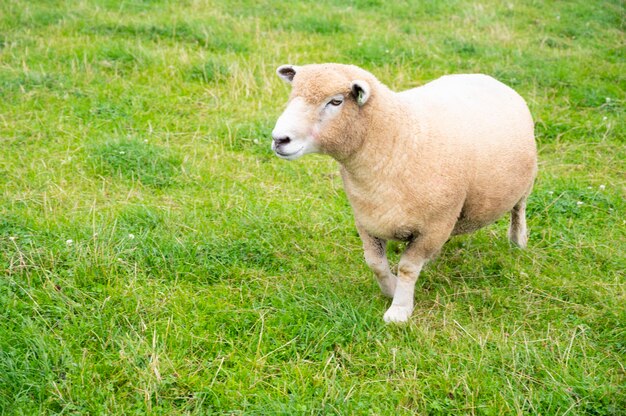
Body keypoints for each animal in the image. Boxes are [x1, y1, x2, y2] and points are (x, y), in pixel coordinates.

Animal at [270, 63, 536, 324]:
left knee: (518, 210)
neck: (397, 137)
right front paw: (391, 288)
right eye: (293, 94)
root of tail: (486, 77)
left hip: (527, 181)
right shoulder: (367, 220)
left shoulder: (433, 226)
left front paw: (399, 310)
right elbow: (376, 263)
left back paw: (518, 241)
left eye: (335, 102)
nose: (279, 139)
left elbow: (408, 267)